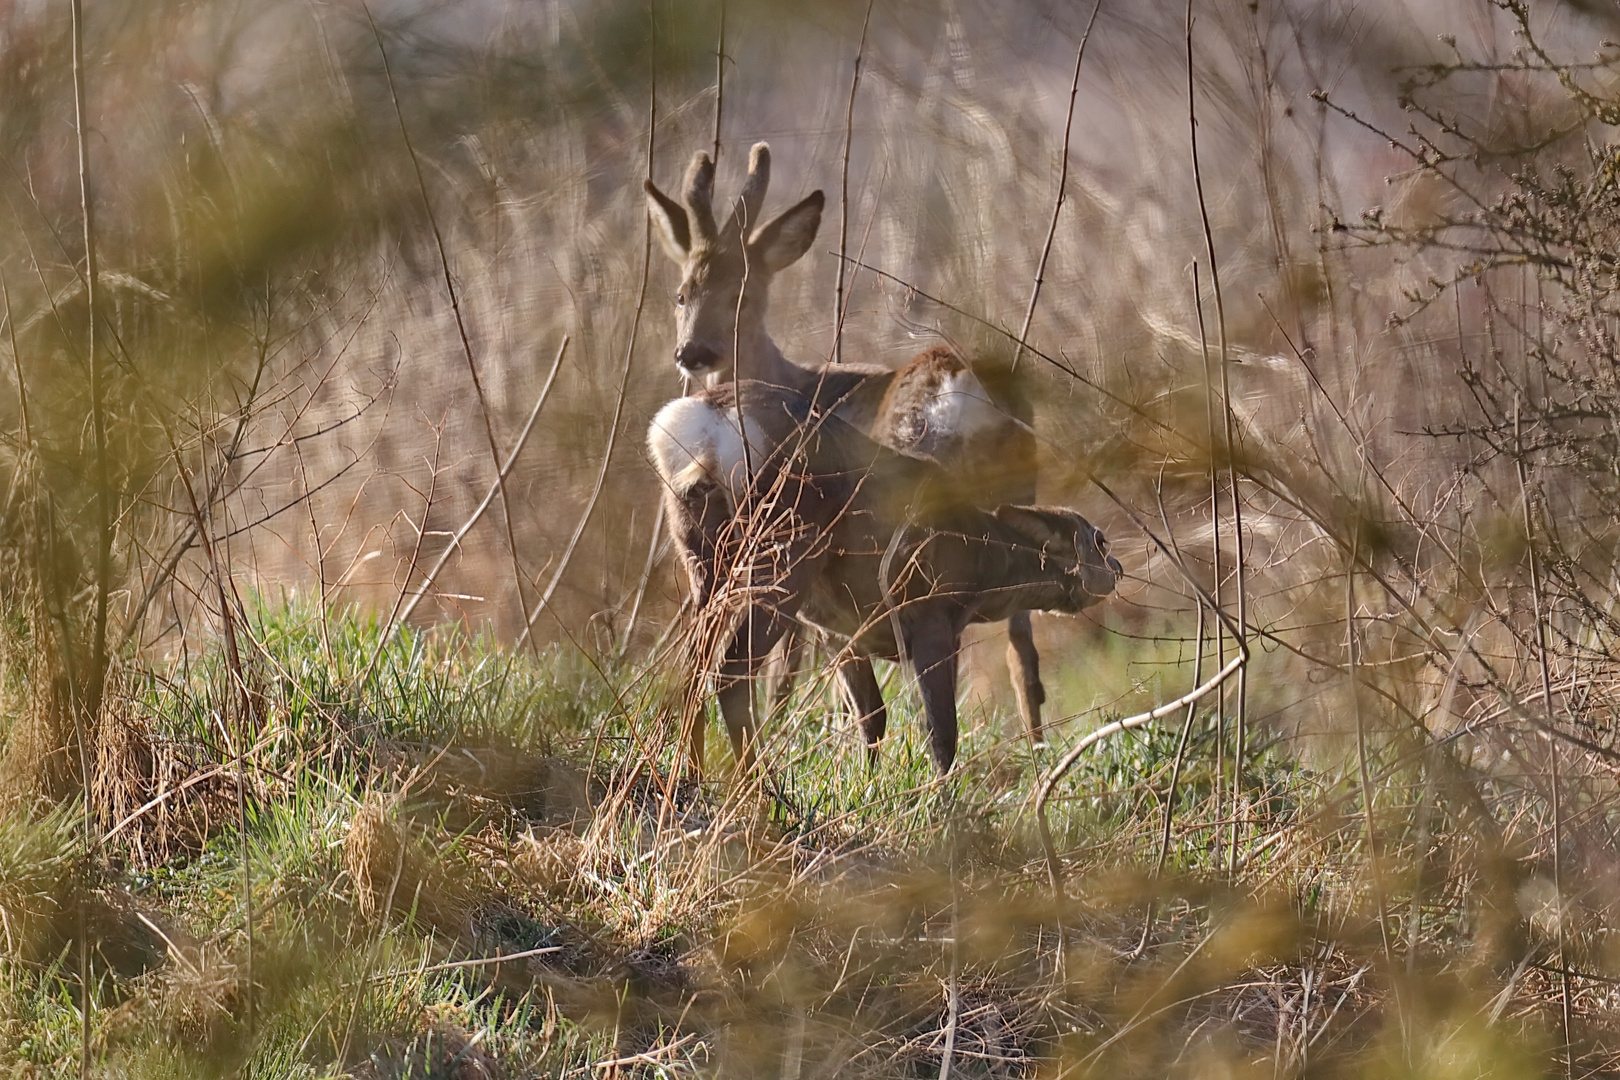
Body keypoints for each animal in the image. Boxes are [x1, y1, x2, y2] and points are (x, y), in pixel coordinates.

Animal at [638, 380, 1121, 777]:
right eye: (1100, 540)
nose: (1117, 570)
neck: (982, 561)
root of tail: (705, 423)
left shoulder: (839, 631)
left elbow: (871, 716)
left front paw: (869, 785)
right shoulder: (930, 617)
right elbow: (941, 731)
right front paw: (943, 805)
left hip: (703, 558)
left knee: (692, 668)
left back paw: (695, 774)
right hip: (784, 553)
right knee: (731, 671)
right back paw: (759, 789)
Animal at [644, 141, 1049, 744]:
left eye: (744, 293)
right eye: (681, 294)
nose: (694, 352)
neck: (795, 378)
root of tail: (959, 386)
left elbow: (794, 667)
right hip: (1017, 501)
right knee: (1023, 652)